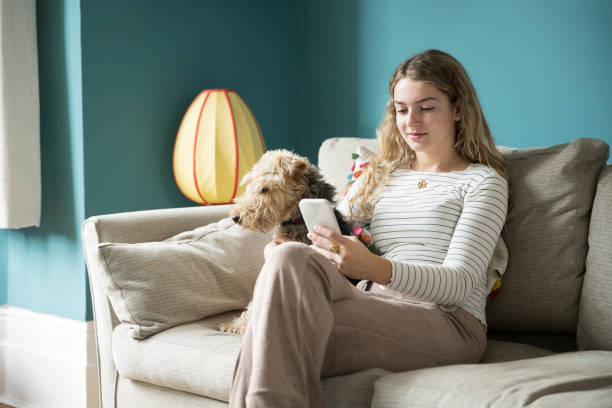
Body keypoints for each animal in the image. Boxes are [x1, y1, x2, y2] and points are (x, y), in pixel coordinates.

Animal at [221, 150, 352, 334]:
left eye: (265, 189)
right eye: (249, 185)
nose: (235, 217)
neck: (298, 218)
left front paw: (238, 326)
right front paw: (234, 325)